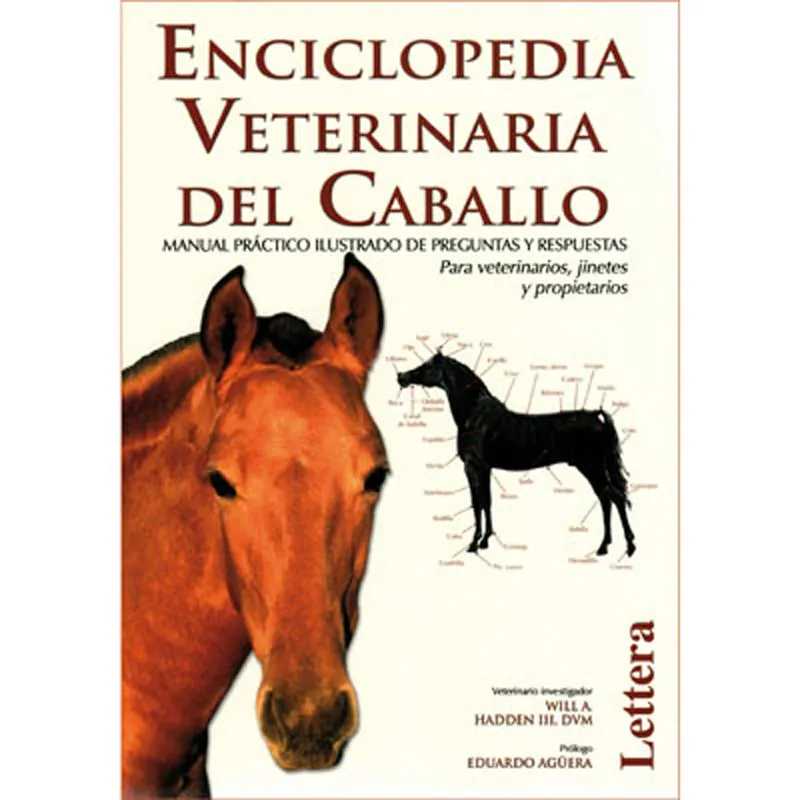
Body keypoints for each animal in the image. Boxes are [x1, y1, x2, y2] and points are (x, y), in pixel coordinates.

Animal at [397, 351, 635, 558]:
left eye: (427, 366)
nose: (401, 377)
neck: (474, 414)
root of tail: (598, 417)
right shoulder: (485, 469)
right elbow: (486, 502)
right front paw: (485, 540)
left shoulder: (473, 467)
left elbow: (477, 503)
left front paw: (474, 544)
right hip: (594, 468)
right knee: (607, 500)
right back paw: (606, 546)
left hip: (592, 467)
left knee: (615, 498)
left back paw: (626, 546)